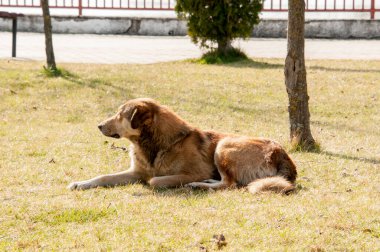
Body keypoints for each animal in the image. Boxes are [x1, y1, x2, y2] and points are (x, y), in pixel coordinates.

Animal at [68, 97, 296, 194]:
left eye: (119, 115)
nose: (99, 126)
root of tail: (282, 155)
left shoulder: (194, 171)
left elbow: (154, 180)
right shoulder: (136, 172)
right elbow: (103, 177)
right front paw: (80, 184)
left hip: (224, 145)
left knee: (229, 183)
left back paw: (199, 184)